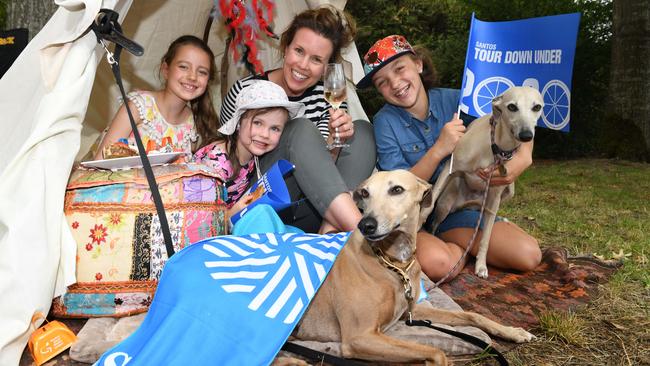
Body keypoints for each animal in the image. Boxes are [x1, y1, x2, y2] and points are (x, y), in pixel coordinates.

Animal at [284, 171, 532, 366]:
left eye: (397, 189)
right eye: (364, 193)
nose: (365, 225)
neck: (394, 263)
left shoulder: (411, 312)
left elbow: (473, 315)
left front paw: (512, 331)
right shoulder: (359, 337)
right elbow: (437, 352)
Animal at [430, 87, 540, 278]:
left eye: (537, 107)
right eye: (512, 107)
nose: (526, 135)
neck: (495, 148)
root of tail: (465, 203)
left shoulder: (495, 195)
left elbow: (486, 237)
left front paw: (481, 265)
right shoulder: (449, 168)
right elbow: (426, 208)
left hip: (507, 191)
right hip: (444, 205)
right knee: (435, 225)